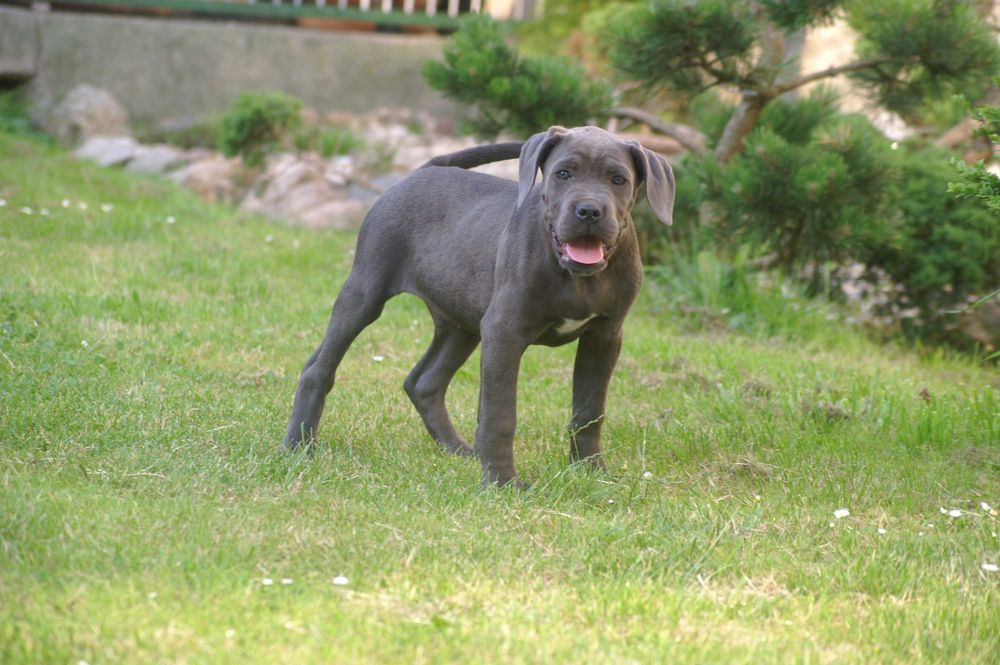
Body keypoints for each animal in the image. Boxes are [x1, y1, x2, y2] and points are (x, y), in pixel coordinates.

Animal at [284, 126, 672, 488]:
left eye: (618, 179)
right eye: (563, 173)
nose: (589, 211)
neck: (576, 276)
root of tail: (424, 170)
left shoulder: (604, 337)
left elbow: (590, 410)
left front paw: (591, 471)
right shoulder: (504, 332)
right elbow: (500, 415)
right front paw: (503, 483)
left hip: (461, 323)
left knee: (423, 382)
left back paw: (458, 450)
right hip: (365, 291)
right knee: (319, 369)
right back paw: (297, 447)